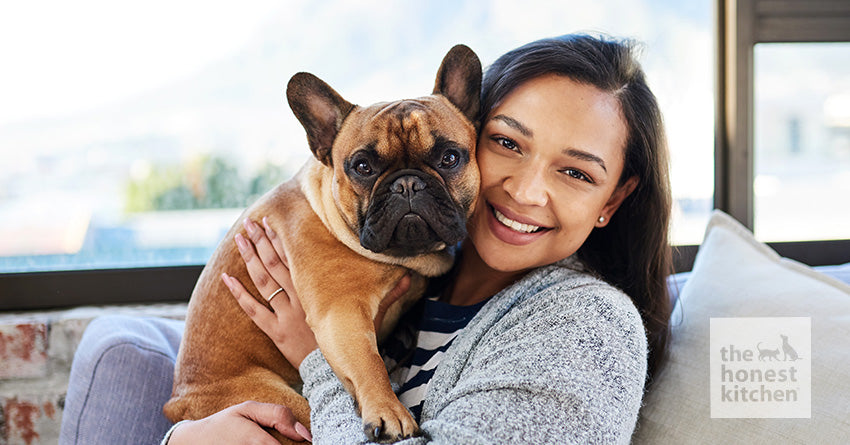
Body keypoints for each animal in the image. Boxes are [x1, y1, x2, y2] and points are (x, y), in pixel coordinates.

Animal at [162, 44, 480, 440]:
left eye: (449, 158)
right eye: (362, 167)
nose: (407, 184)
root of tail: (179, 406)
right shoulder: (341, 315)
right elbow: (369, 362)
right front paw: (388, 411)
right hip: (284, 405)